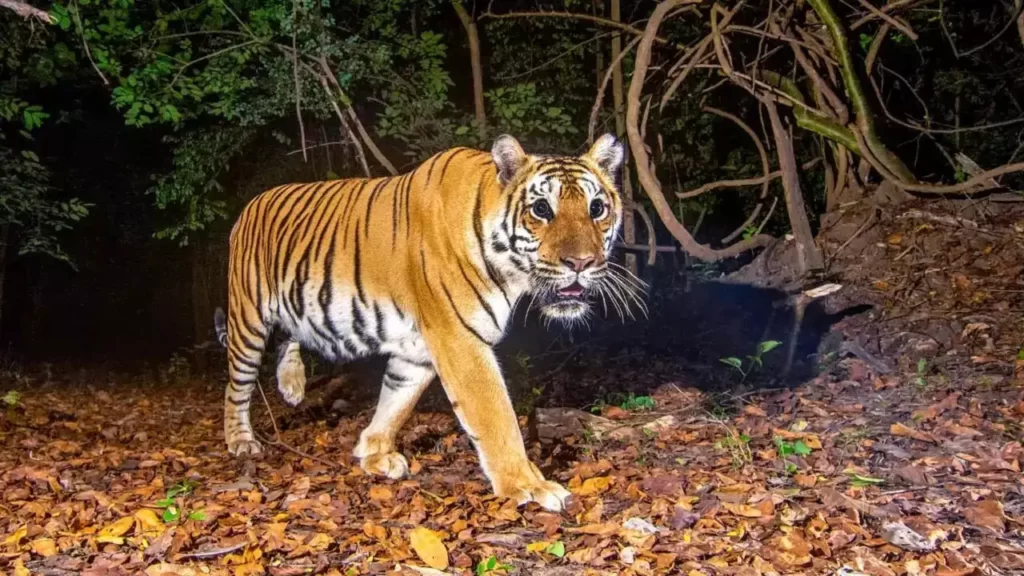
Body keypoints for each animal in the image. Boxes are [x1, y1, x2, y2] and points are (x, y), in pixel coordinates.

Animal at [212, 132, 643, 508]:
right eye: (541, 210)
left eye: (596, 208)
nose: (581, 263)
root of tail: (248, 206)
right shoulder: (460, 340)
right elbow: (496, 416)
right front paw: (529, 485)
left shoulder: (417, 348)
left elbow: (395, 400)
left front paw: (373, 452)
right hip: (247, 317)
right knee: (236, 384)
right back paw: (240, 440)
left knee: (289, 336)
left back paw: (292, 386)